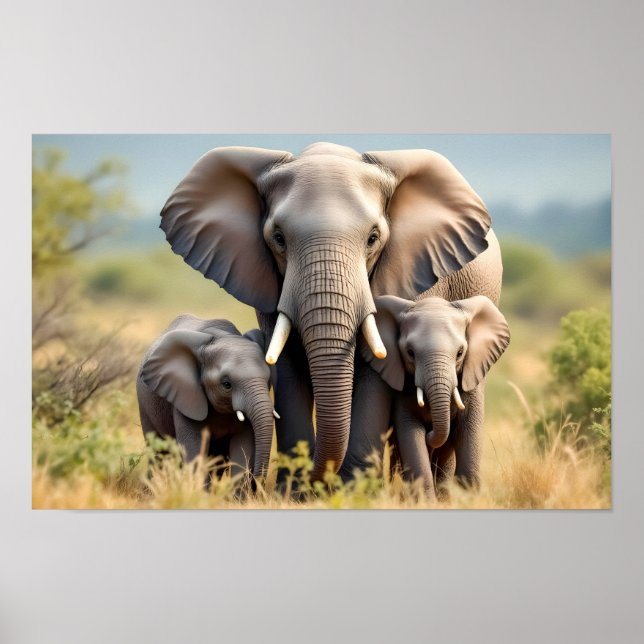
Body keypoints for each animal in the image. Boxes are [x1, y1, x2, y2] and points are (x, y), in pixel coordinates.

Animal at [136, 314, 277, 479]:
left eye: (268, 380)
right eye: (226, 384)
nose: (257, 480)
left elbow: (243, 450)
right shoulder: (187, 399)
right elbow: (195, 452)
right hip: (144, 406)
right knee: (158, 452)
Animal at [160, 142, 498, 480]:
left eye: (373, 239)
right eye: (278, 239)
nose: (315, 474)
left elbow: (375, 369)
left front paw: (353, 485)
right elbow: (286, 364)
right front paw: (296, 487)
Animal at [359, 295, 510, 498]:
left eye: (460, 353)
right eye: (410, 353)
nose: (430, 430)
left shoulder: (471, 384)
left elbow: (469, 429)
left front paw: (468, 499)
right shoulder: (404, 392)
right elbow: (411, 434)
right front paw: (425, 501)